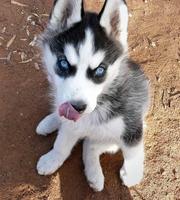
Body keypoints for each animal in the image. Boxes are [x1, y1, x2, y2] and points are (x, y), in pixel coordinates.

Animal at [36, 0, 149, 191]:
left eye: (100, 70)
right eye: (63, 63)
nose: (77, 107)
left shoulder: (131, 124)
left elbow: (133, 151)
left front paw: (133, 173)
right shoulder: (71, 123)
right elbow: (62, 143)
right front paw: (53, 158)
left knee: (91, 145)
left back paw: (94, 174)